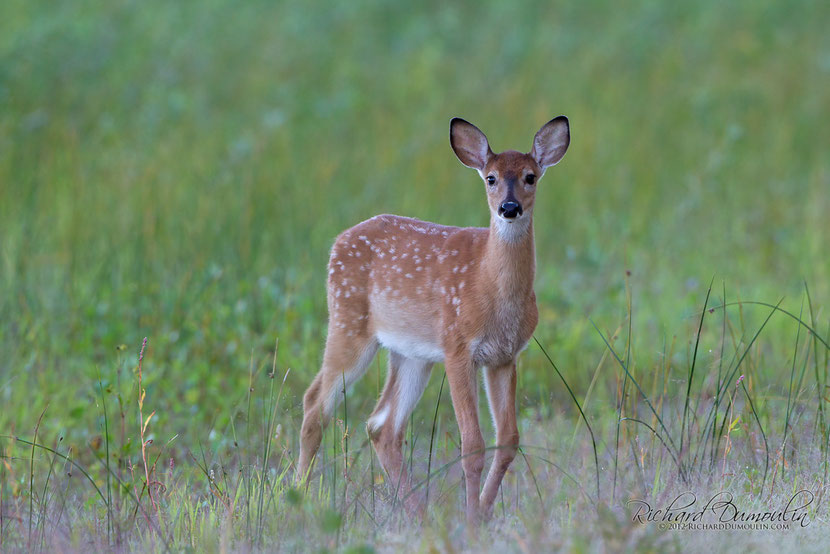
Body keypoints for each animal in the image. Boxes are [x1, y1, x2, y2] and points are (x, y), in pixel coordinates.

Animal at [300, 114, 572, 520]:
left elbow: (508, 440)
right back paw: (294, 495)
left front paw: (484, 513)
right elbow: (472, 444)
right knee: (315, 403)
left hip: (411, 353)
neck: (488, 285)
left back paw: (420, 514)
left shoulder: (505, 356)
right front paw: (472, 519)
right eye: (490, 178)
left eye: (530, 176)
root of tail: (338, 241)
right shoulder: (458, 347)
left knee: (382, 425)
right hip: (348, 322)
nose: (509, 208)